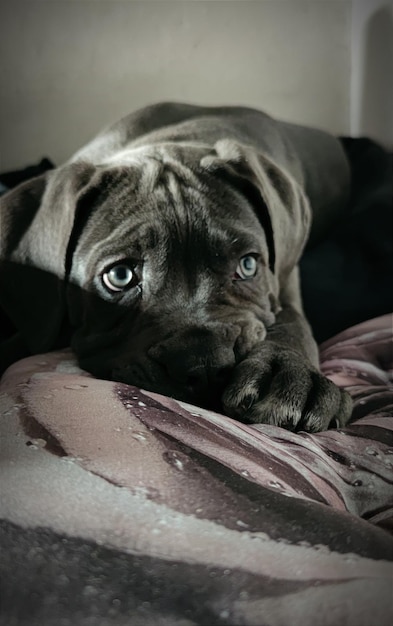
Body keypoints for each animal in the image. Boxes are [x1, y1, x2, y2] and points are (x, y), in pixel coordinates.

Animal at [0, 102, 352, 432]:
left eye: (248, 264)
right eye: (119, 276)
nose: (205, 365)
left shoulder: (285, 283)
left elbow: (292, 321)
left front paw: (290, 372)